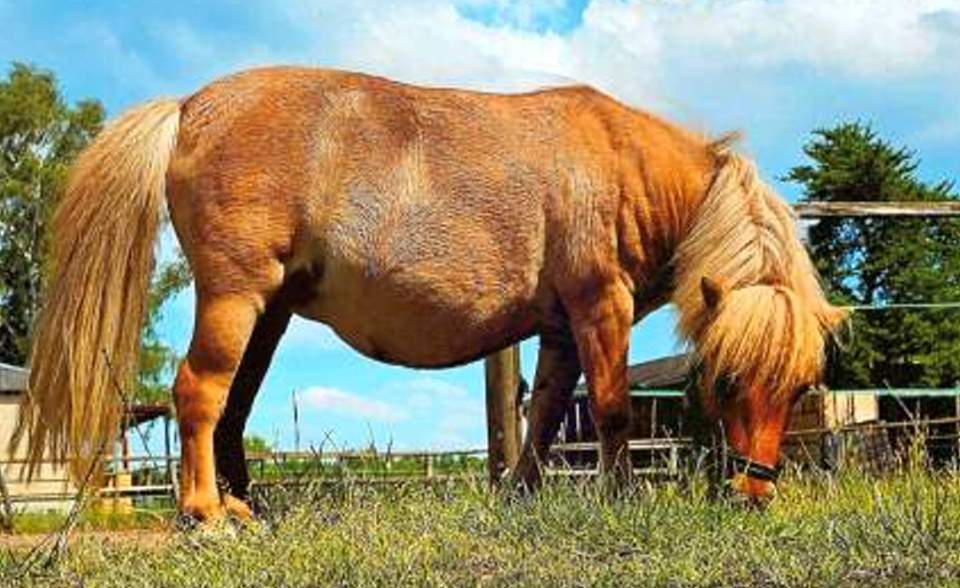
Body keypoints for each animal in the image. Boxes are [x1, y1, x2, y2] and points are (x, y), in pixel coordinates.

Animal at [14, 66, 846, 520]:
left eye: (801, 385)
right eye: (726, 380)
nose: (754, 495)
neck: (622, 162)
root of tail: (192, 105)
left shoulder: (559, 328)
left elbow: (546, 414)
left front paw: (520, 495)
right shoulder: (597, 306)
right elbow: (608, 409)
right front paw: (622, 498)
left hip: (269, 313)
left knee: (234, 408)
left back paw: (241, 506)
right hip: (233, 296)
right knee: (198, 391)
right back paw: (201, 514)